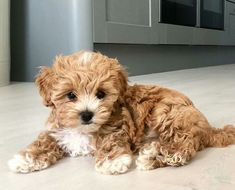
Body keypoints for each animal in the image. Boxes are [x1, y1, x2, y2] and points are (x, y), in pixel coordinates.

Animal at [8, 50, 235, 175]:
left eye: (100, 94)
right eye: (70, 95)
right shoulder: (57, 131)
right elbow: (44, 142)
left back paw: (155, 156)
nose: (87, 114)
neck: (82, 129)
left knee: (185, 146)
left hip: (168, 113)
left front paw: (112, 162)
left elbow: (110, 142)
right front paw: (26, 158)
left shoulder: (117, 127)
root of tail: (207, 126)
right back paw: (152, 153)